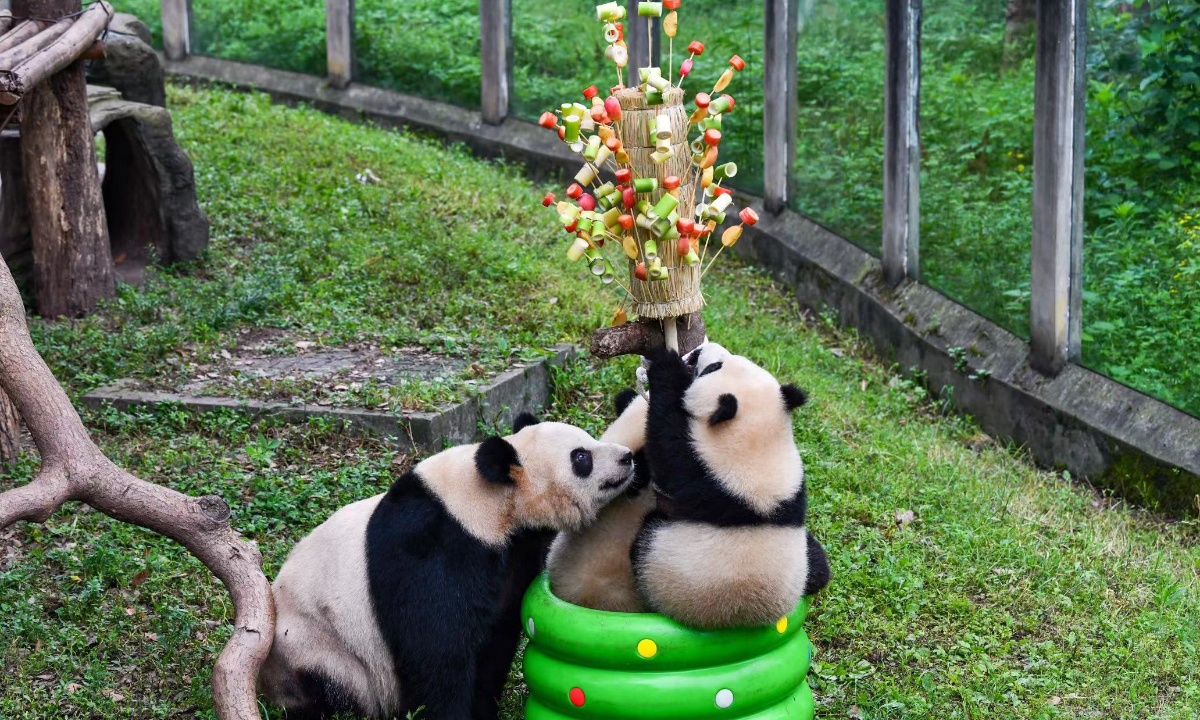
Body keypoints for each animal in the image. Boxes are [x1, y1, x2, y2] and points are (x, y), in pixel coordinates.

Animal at [259, 415, 643, 720]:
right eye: (581, 457)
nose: (627, 458)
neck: (489, 503)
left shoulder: (512, 555)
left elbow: (496, 636)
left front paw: (484, 709)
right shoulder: (431, 546)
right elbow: (436, 647)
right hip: (315, 645)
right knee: (328, 685)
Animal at [633, 345, 830, 628]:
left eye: (713, 368)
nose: (702, 349)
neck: (757, 444)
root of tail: (743, 618)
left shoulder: (703, 470)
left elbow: (663, 445)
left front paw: (664, 362)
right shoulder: (794, 484)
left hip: (660, 565)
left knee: (642, 542)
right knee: (820, 568)